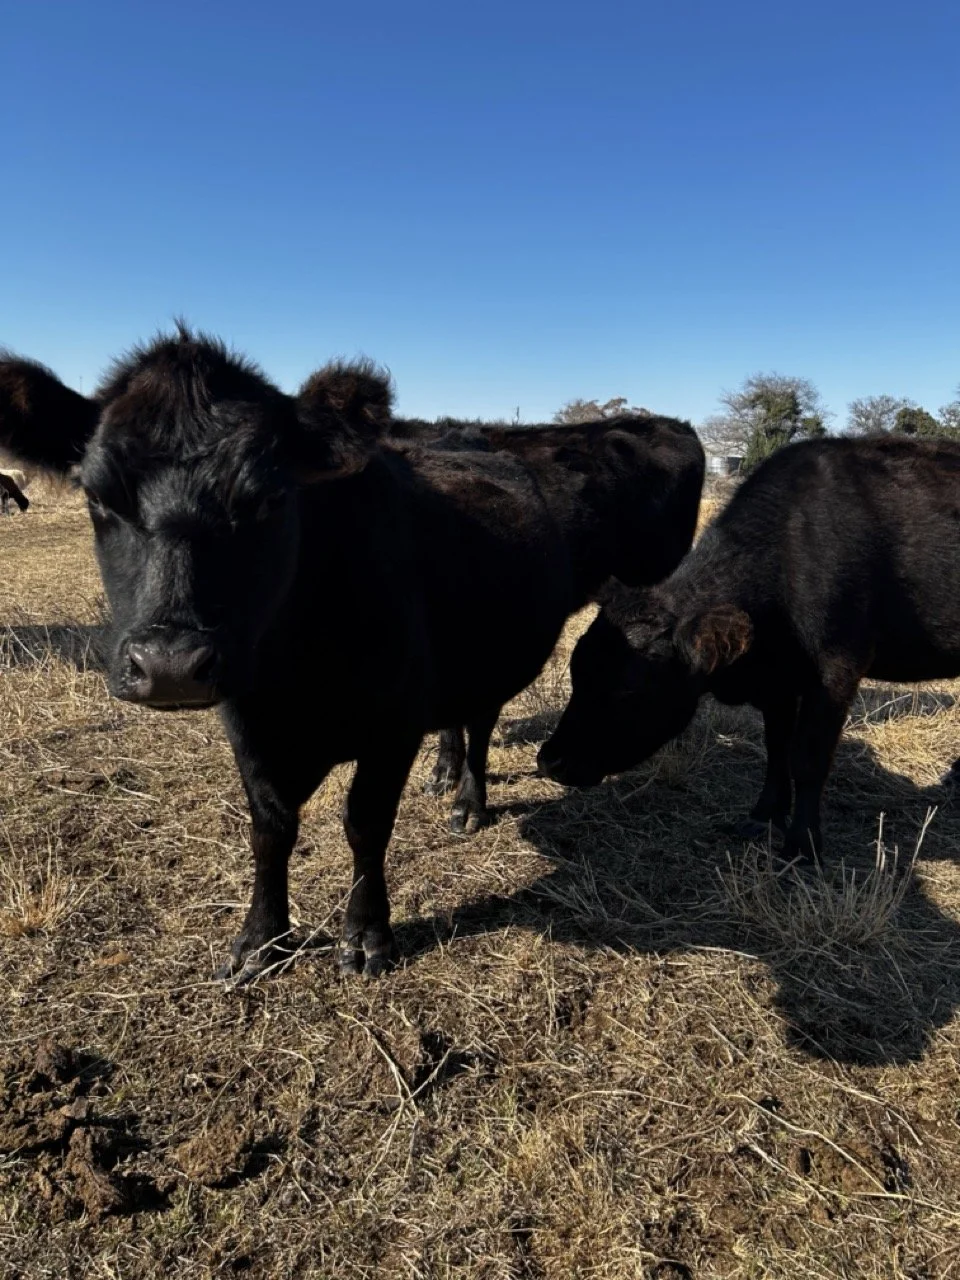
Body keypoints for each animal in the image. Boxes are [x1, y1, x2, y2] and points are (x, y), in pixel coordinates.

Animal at [538, 434, 960, 862]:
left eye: (628, 690)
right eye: (576, 672)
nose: (550, 760)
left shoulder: (837, 667)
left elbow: (808, 757)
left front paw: (802, 845)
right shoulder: (779, 679)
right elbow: (776, 746)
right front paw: (764, 814)